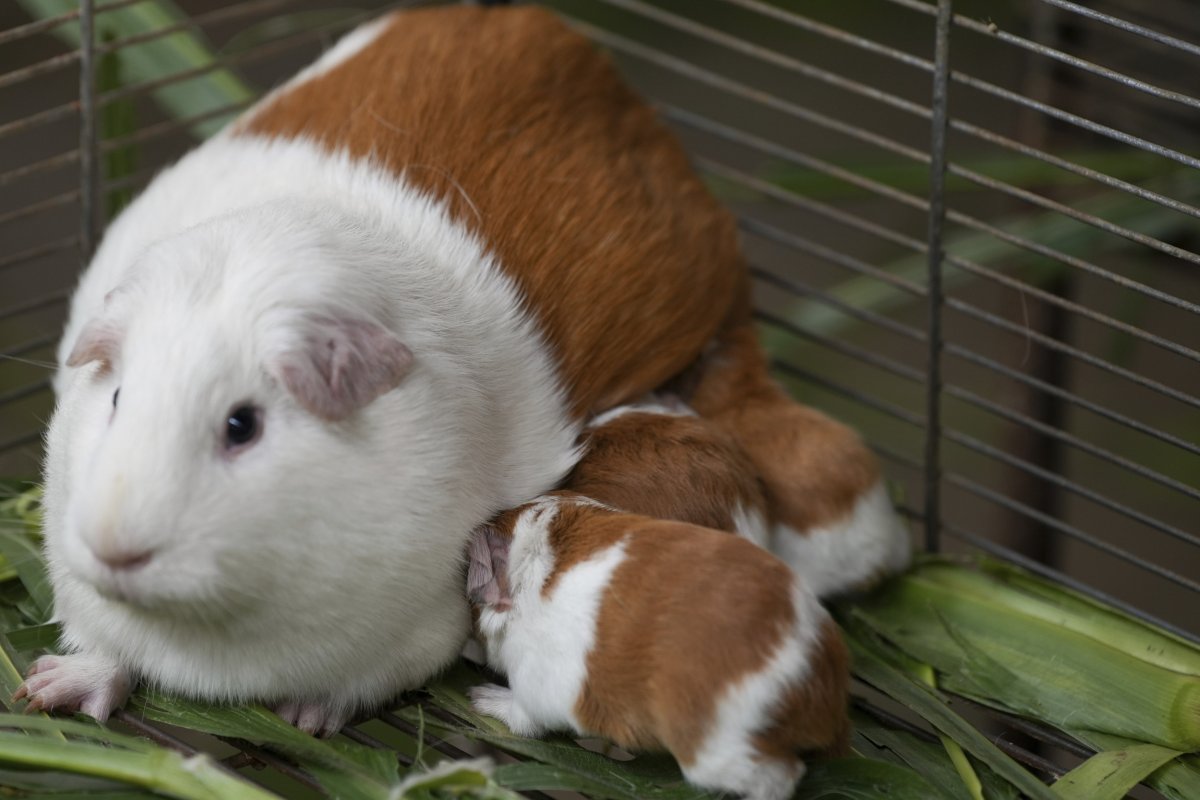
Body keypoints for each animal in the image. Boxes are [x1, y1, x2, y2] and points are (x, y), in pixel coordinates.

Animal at [19, 5, 744, 734]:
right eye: (117, 398)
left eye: (242, 425)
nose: (114, 547)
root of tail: (559, 35)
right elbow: (106, 652)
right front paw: (45, 689)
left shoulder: (411, 637)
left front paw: (306, 718)